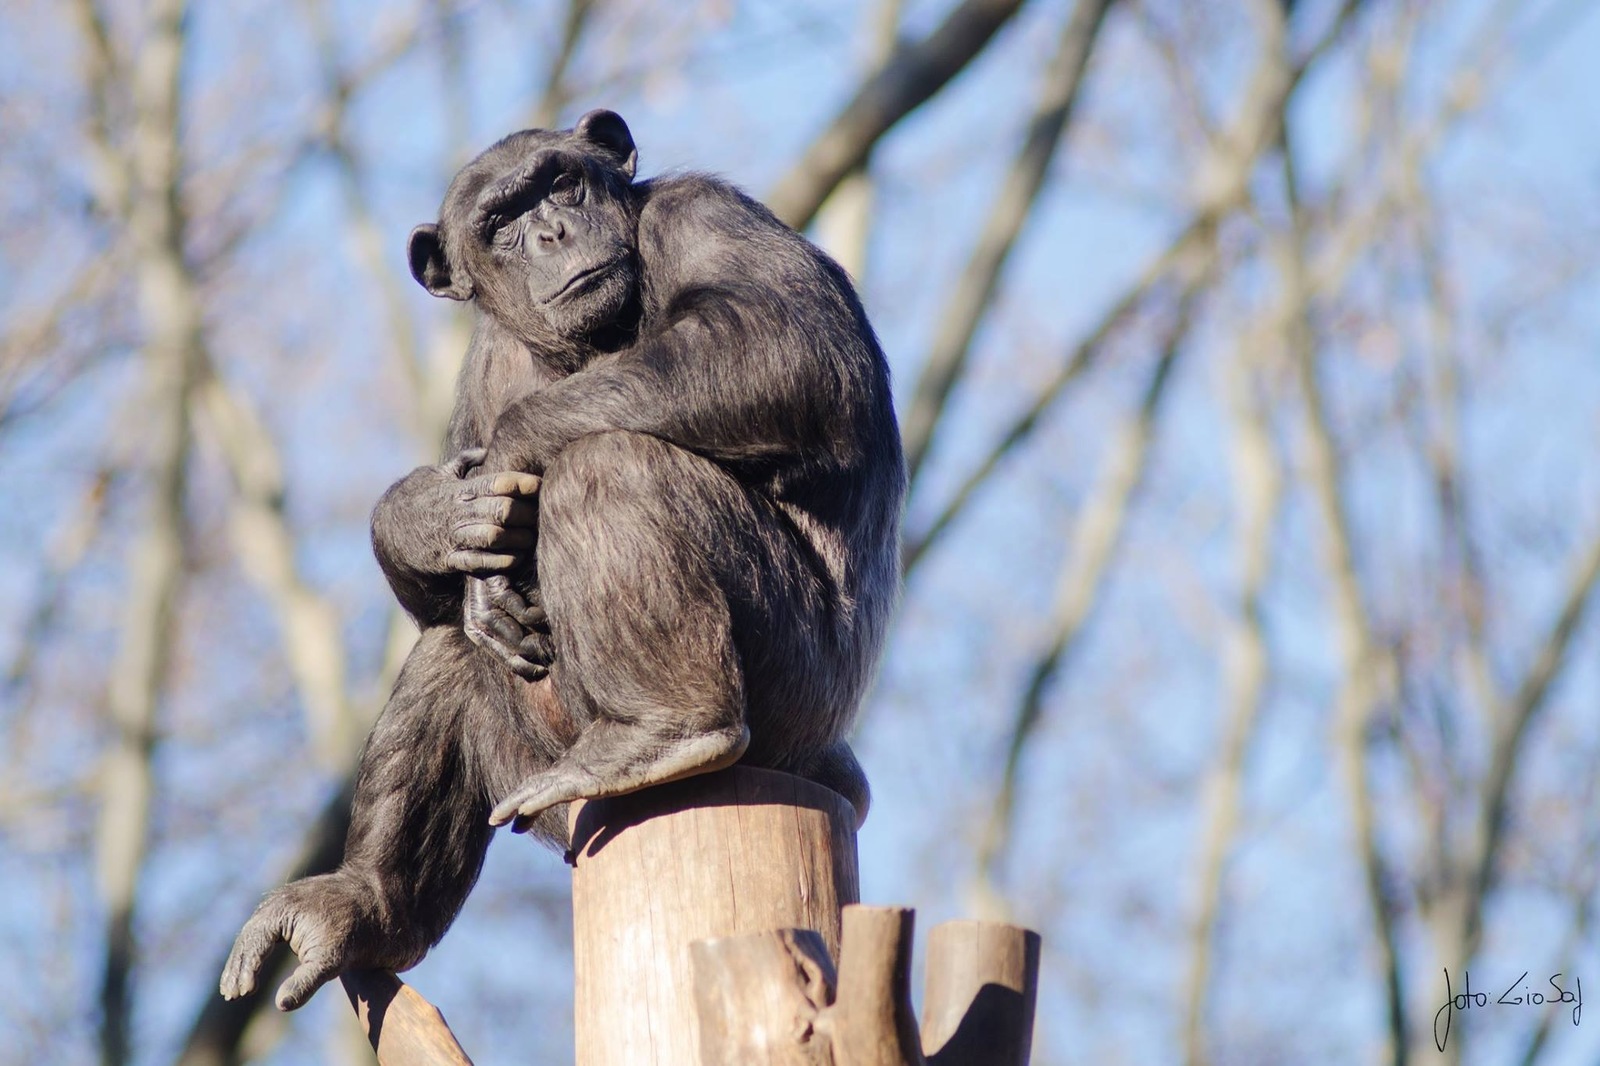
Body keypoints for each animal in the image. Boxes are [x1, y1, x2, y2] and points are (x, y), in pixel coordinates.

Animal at [219, 109, 908, 1011]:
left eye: (560, 184)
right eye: (500, 223)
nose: (549, 231)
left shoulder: (707, 213)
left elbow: (781, 345)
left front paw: (507, 455)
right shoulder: (482, 363)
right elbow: (446, 598)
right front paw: (432, 519)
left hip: (804, 693)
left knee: (610, 462)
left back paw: (666, 729)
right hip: (541, 782)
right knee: (450, 648)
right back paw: (359, 905)